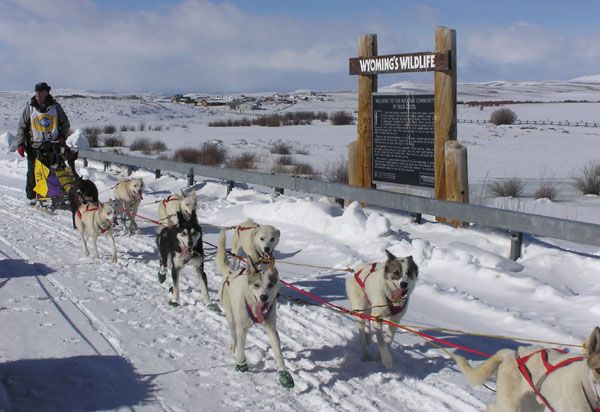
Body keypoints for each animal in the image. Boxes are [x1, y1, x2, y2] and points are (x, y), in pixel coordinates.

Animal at [217, 227, 294, 388]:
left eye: (270, 285)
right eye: (257, 285)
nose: (264, 297)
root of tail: (230, 273)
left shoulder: (271, 329)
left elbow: (278, 353)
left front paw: (283, 373)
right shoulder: (242, 329)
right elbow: (241, 348)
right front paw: (241, 364)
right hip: (231, 319)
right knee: (234, 338)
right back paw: (234, 349)